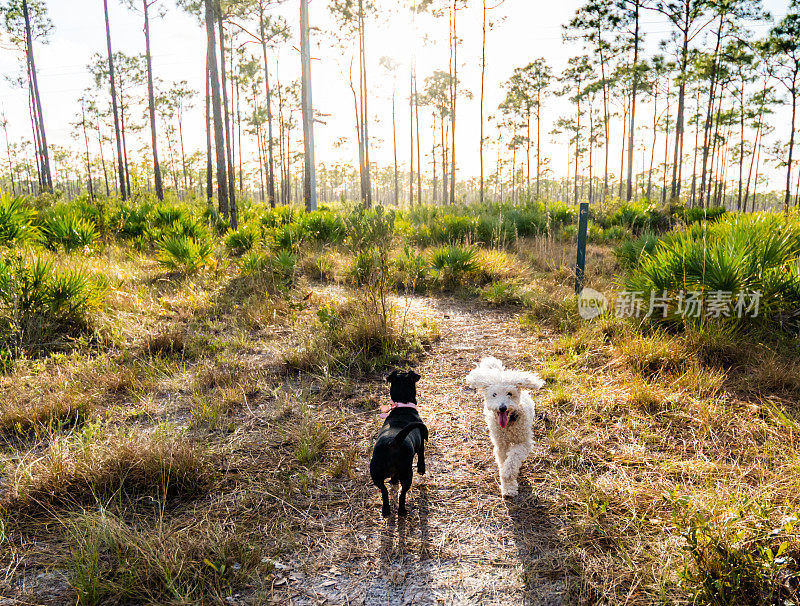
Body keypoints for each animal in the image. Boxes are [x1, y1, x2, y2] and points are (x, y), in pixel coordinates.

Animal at [370, 370, 428, 516]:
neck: (403, 406)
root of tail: (393, 441)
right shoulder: (422, 443)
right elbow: (421, 456)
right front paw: (421, 469)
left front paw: (393, 480)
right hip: (407, 475)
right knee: (402, 495)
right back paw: (402, 511)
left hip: (376, 475)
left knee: (384, 491)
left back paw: (386, 510)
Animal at [466, 358, 548, 496]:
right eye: (494, 394)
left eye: (509, 393)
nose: (502, 407)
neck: (508, 425)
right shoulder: (501, 444)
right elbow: (503, 460)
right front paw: (508, 486)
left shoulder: (523, 442)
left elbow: (513, 459)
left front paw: (508, 474)